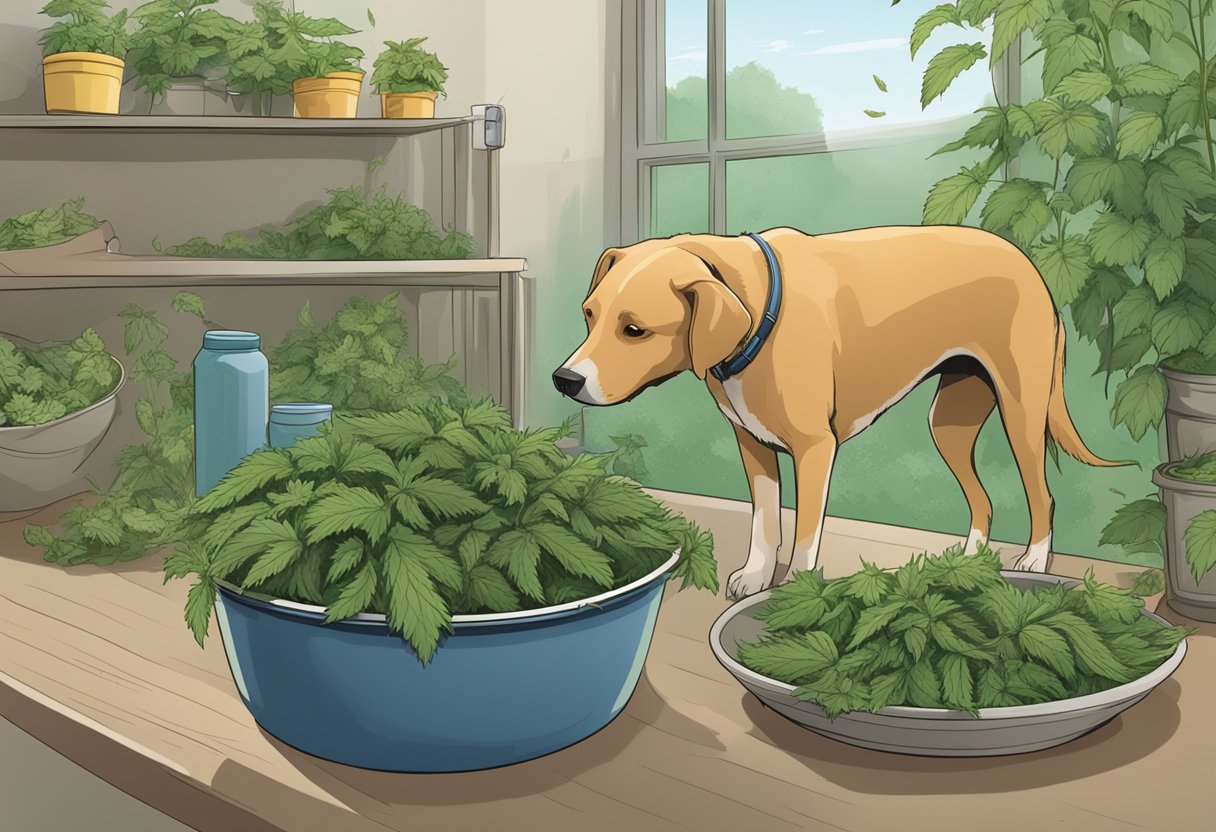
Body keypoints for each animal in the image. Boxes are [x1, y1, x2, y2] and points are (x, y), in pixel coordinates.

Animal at [554, 223, 1128, 598]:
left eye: (634, 329)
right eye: (588, 315)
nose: (564, 380)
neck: (760, 312)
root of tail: (1028, 264)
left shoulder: (815, 450)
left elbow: (805, 534)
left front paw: (795, 592)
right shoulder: (753, 446)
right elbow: (765, 523)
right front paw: (756, 576)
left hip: (1021, 413)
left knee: (1042, 496)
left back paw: (1032, 561)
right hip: (950, 424)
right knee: (982, 501)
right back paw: (968, 563)